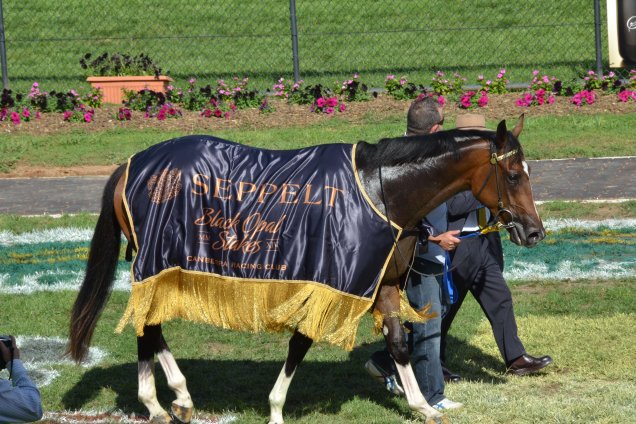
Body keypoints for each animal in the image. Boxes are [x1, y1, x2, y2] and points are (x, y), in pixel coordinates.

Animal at [68, 116, 540, 424]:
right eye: (514, 175)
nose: (533, 230)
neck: (380, 191)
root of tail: (129, 166)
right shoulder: (331, 282)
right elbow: (301, 342)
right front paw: (276, 410)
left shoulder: (383, 284)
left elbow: (399, 344)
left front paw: (422, 405)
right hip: (156, 263)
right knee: (147, 323)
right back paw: (158, 401)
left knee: (151, 324)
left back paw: (177, 399)